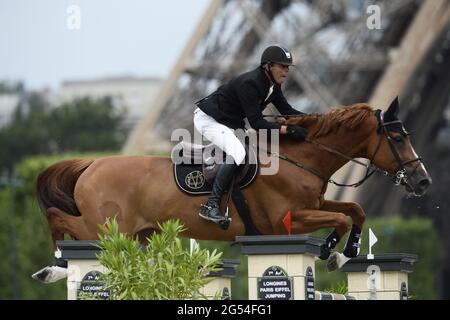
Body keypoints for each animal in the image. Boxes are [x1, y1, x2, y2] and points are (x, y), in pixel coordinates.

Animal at [34, 99, 428, 282]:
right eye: (397, 138)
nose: (423, 181)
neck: (300, 158)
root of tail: (92, 164)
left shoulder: (314, 204)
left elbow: (354, 212)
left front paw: (347, 252)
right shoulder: (287, 220)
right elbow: (341, 220)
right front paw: (331, 252)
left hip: (134, 234)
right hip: (107, 228)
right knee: (58, 219)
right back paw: (53, 267)